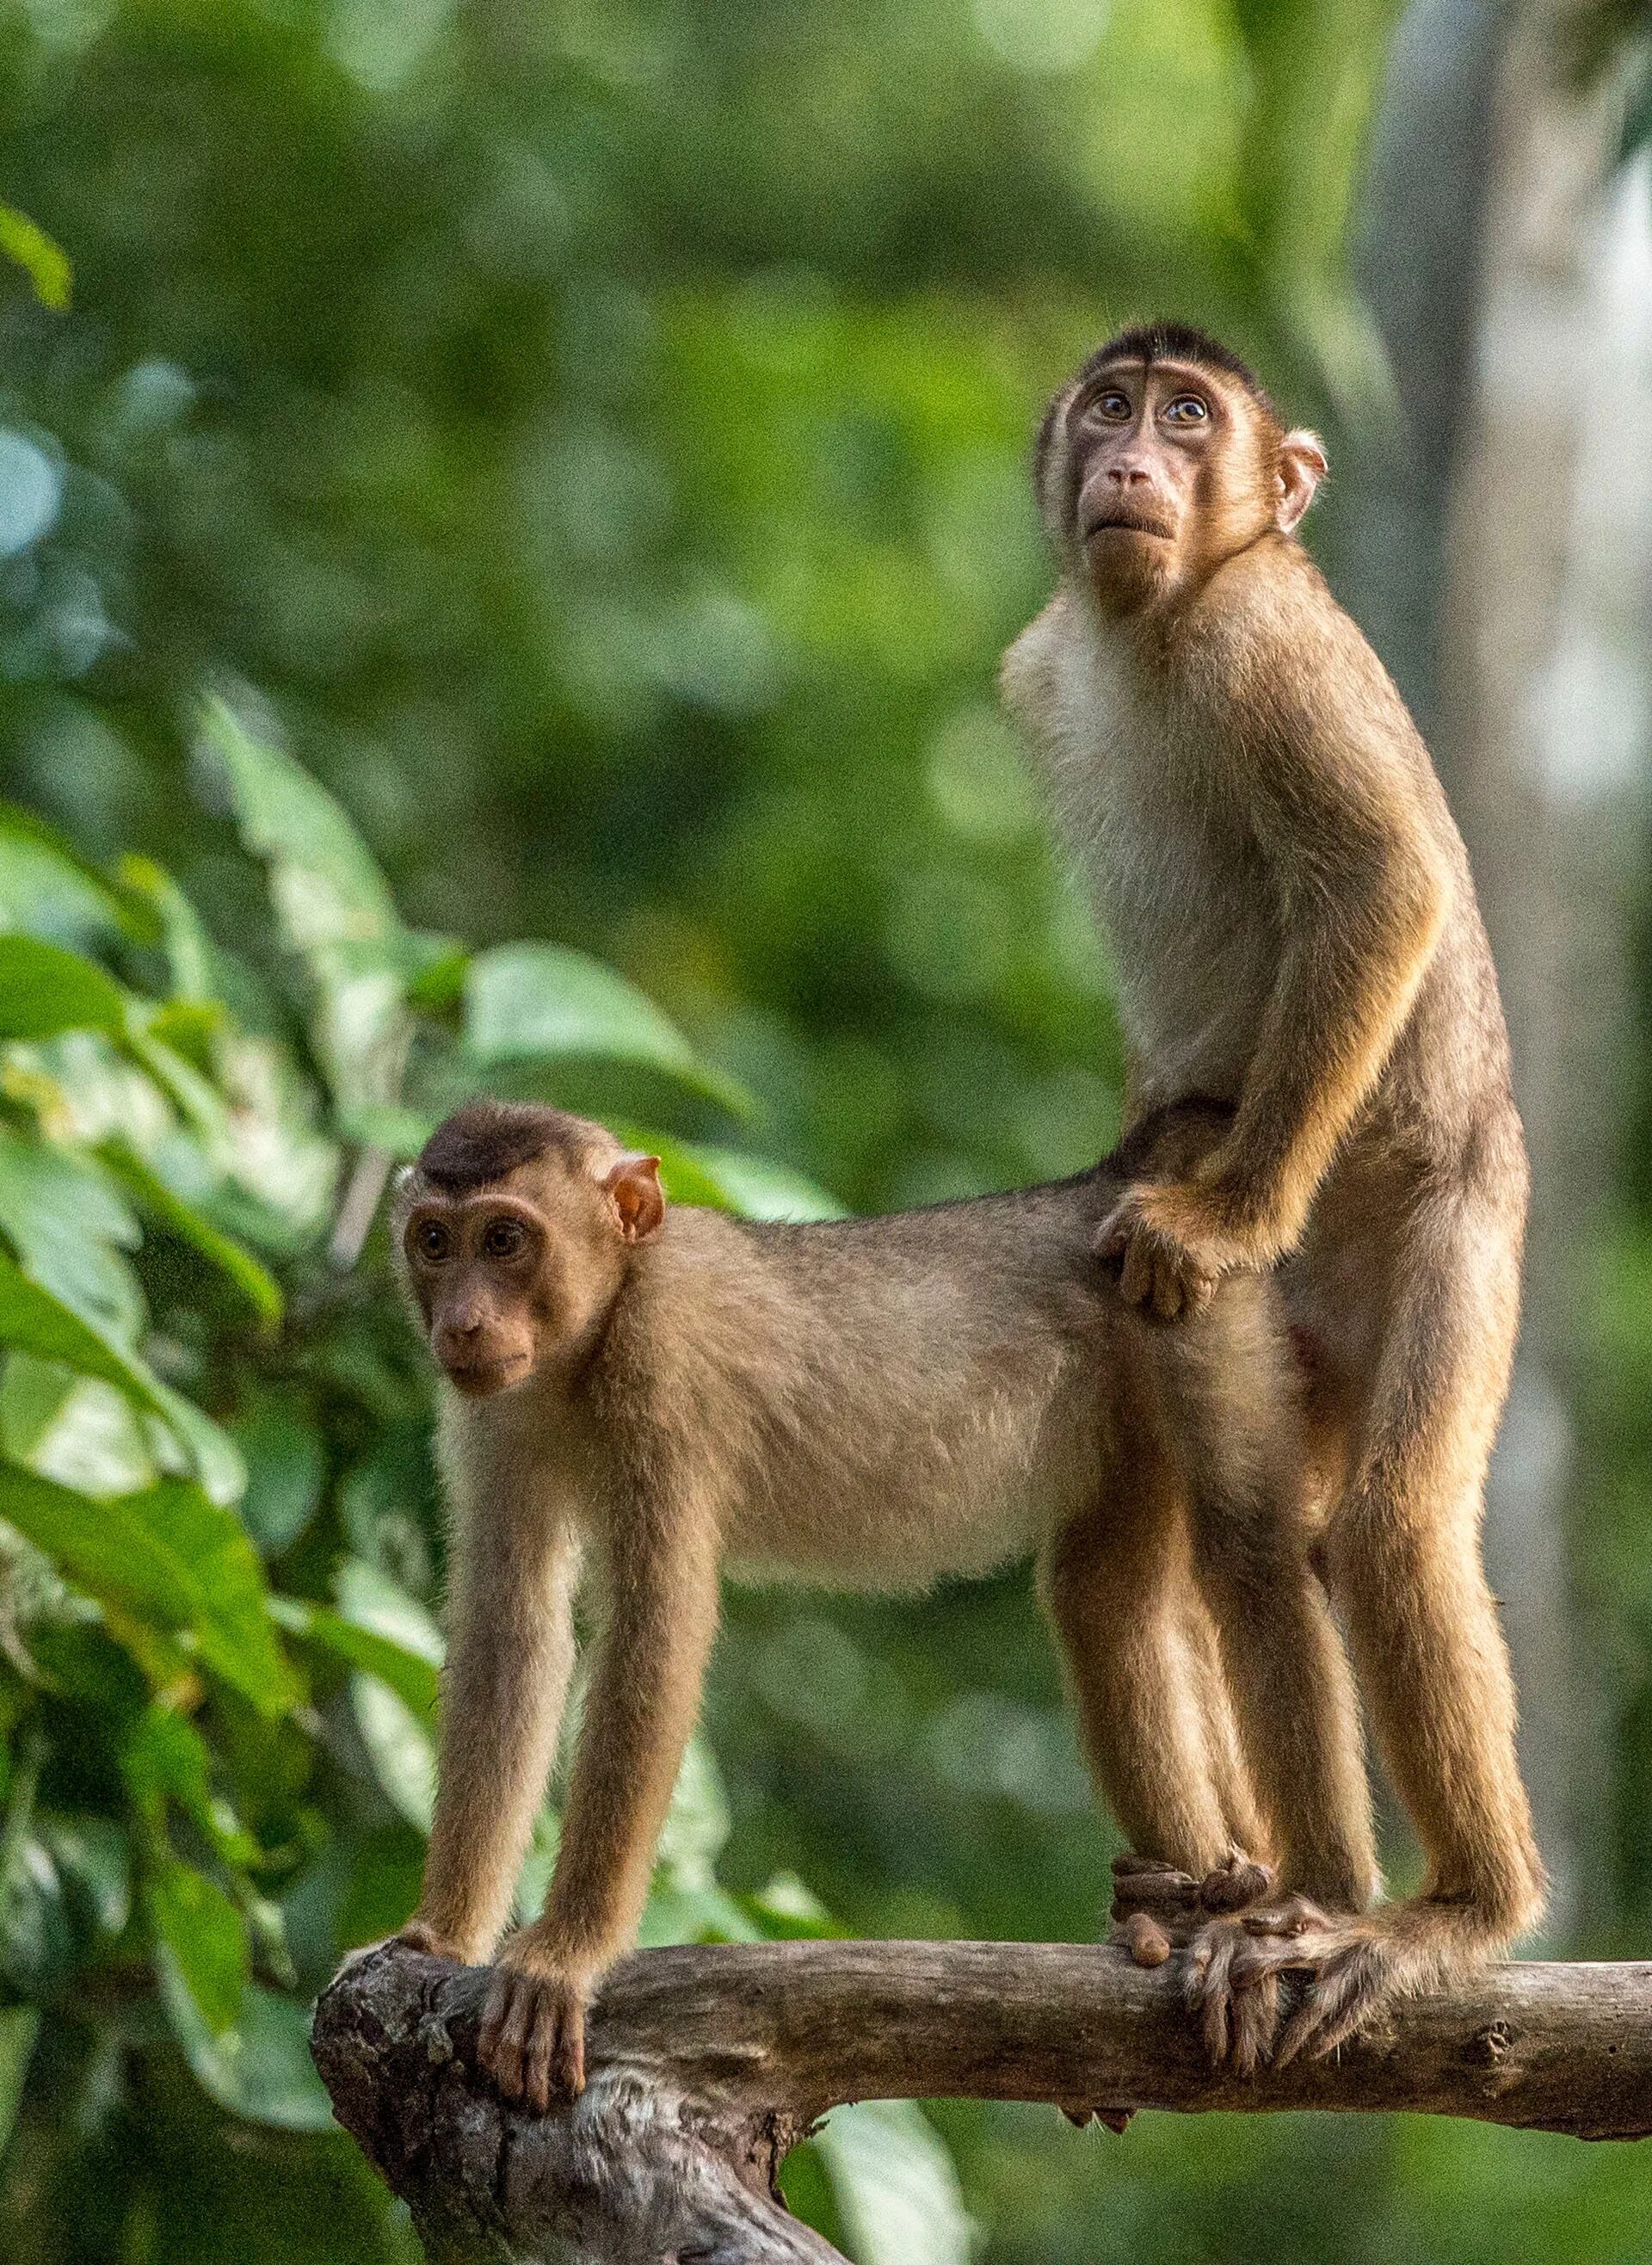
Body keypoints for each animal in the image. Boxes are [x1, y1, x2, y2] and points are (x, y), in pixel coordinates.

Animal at [383, 1095, 1368, 2101]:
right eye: (436, 1242)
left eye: (506, 1239)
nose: (461, 1321)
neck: (595, 1328)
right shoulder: (495, 1410)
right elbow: (513, 1630)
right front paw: (442, 1934)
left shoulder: (662, 1369)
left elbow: (656, 1632)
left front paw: (565, 1955)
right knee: (1108, 1598)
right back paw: (1194, 1901)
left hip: (1204, 1312)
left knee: (1250, 1558)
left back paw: (1304, 1909)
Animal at [992, 319, 1550, 2074]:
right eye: (1113, 405)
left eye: (1191, 417)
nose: (1135, 464)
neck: (1152, 632)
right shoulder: (1042, 666)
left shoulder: (1263, 644)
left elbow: (1381, 880)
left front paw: (1226, 1212)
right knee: (1203, 1550)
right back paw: (1222, 1888)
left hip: (1455, 1227)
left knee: (1380, 1529)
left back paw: (1445, 1914)